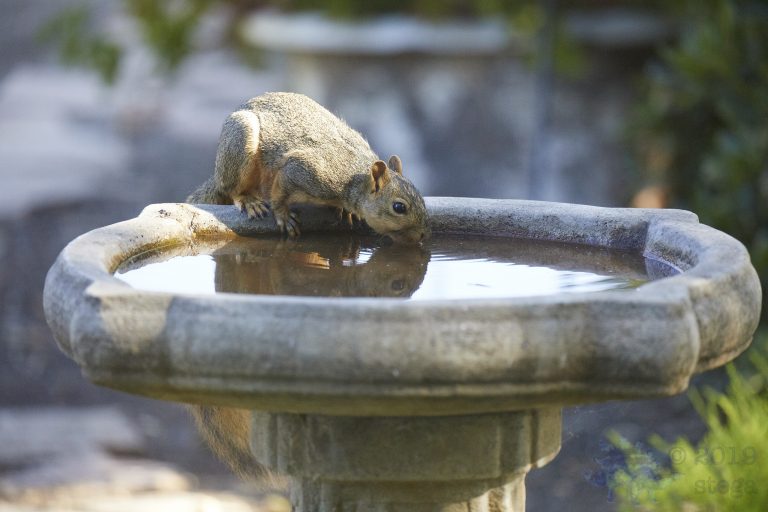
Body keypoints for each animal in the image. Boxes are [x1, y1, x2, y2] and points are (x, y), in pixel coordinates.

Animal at [188, 92, 429, 244]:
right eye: (399, 207)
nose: (422, 236)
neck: (355, 177)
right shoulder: (306, 171)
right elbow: (280, 192)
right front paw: (283, 215)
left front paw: (347, 211)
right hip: (239, 144)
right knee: (232, 189)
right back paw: (249, 200)